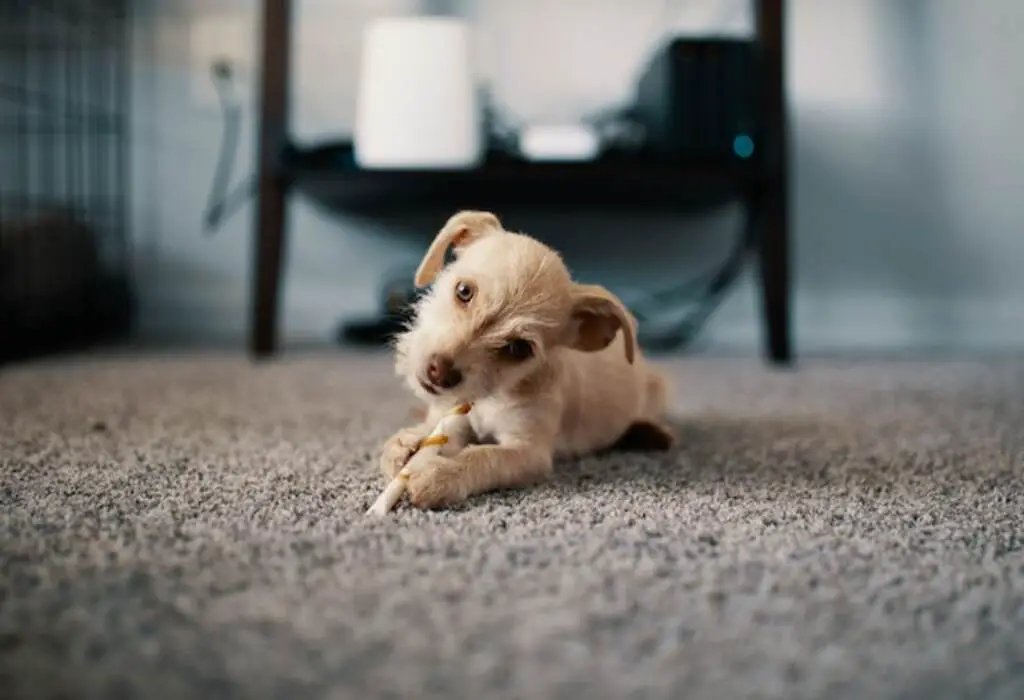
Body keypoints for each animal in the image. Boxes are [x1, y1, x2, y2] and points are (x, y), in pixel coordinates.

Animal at [380, 208, 675, 507]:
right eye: (464, 291)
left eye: (518, 349)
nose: (439, 372)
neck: (492, 395)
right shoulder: (453, 418)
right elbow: (433, 432)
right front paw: (407, 444)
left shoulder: (529, 451)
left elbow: (484, 456)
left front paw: (442, 473)